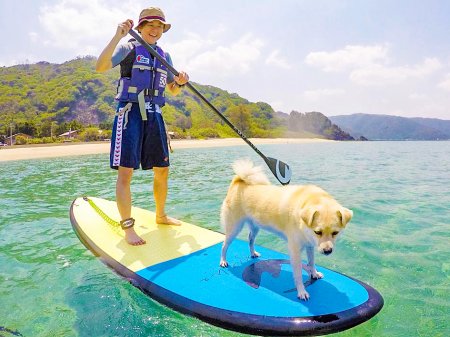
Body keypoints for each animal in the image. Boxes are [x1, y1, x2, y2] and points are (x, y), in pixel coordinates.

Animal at [220, 159, 354, 300]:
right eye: (318, 232)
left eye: (335, 233)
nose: (327, 251)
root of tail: (238, 182)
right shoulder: (295, 250)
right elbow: (298, 273)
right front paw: (301, 291)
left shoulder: (309, 245)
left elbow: (312, 262)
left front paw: (314, 273)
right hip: (234, 227)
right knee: (224, 245)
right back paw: (223, 261)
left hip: (255, 226)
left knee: (250, 239)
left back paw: (253, 253)